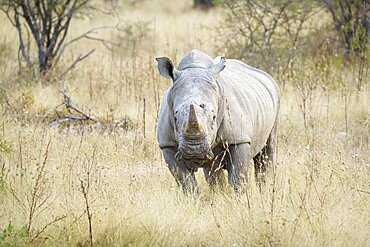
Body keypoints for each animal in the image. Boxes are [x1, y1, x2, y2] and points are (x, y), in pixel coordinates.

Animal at [155, 49, 278, 193]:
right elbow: (186, 182)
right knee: (212, 169)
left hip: (275, 97)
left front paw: (238, 197)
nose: (194, 151)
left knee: (266, 151)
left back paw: (265, 191)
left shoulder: (239, 139)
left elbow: (238, 178)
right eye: (175, 118)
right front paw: (195, 197)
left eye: (214, 117)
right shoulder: (167, 144)